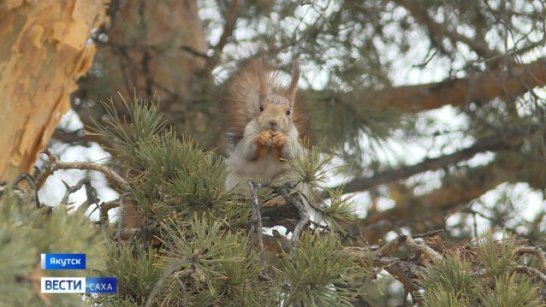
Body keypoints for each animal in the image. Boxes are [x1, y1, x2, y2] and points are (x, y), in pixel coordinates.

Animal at [222, 58, 308, 191]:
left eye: (288, 112)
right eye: (261, 108)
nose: (273, 121)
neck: (270, 146)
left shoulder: (294, 136)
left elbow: (291, 152)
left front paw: (282, 139)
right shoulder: (248, 133)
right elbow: (248, 150)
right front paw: (261, 138)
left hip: (291, 177)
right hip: (238, 179)